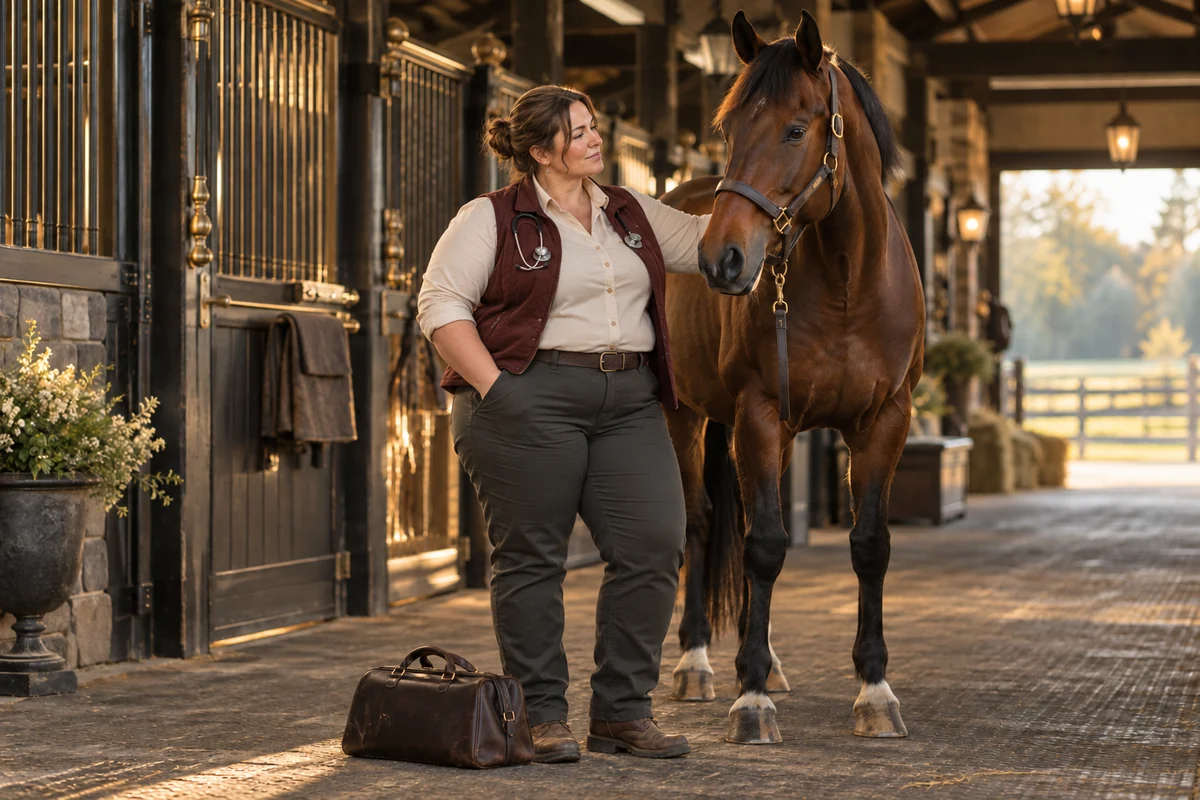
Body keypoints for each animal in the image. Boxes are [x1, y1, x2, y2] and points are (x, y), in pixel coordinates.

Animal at [658, 10, 925, 745]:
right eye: (726, 130)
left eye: (796, 130)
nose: (722, 259)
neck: (848, 285)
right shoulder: (758, 414)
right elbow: (765, 546)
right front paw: (749, 701)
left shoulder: (884, 421)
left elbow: (869, 546)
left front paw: (875, 691)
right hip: (687, 415)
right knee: (700, 522)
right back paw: (697, 663)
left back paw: (770, 660)